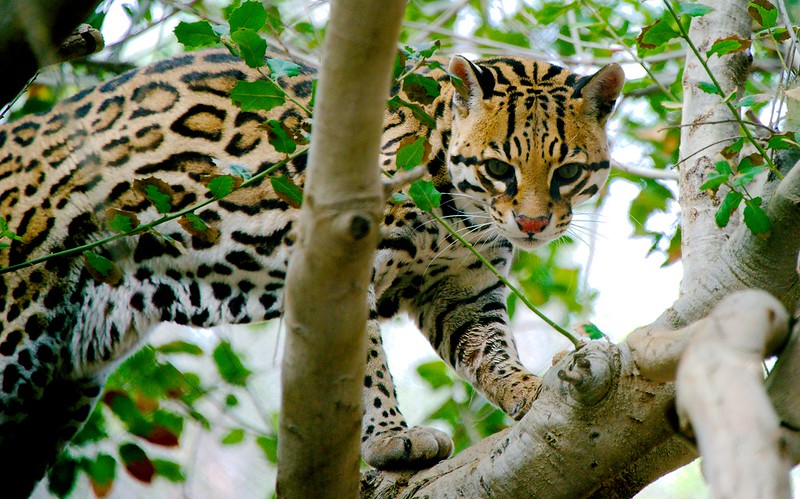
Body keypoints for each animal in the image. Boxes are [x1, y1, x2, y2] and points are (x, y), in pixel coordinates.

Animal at [0, 47, 624, 496]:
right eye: (498, 169)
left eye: (568, 173)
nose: (532, 224)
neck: (459, 218)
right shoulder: (342, 275)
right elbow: (366, 368)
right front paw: (391, 438)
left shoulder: (464, 293)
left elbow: (491, 352)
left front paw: (530, 389)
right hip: (18, 329)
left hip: (60, 394)